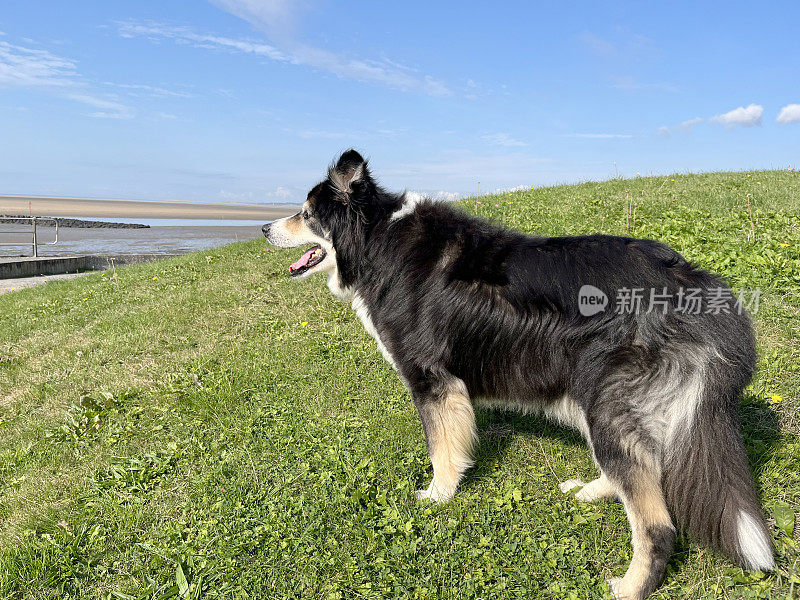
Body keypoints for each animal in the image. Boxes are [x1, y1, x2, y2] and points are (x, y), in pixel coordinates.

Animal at [264, 151, 776, 600]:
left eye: (305, 214)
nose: (264, 228)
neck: (377, 240)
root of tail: (693, 283)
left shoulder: (433, 381)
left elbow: (441, 449)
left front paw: (438, 496)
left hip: (607, 399)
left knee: (656, 524)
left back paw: (631, 587)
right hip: (597, 399)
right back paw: (592, 492)